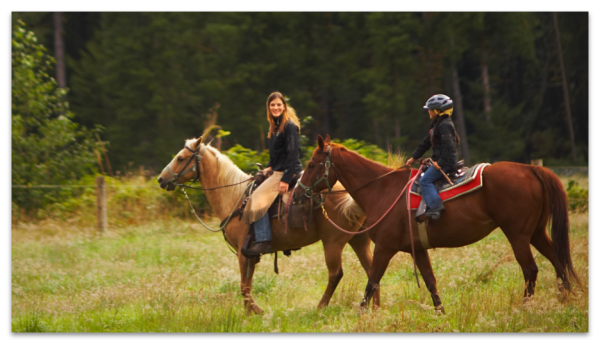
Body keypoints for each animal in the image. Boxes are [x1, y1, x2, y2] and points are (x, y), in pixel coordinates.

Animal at [156, 135, 380, 314]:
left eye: (180, 158)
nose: (161, 179)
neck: (236, 198)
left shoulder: (242, 253)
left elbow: (243, 287)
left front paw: (256, 312)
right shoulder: (250, 255)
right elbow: (247, 285)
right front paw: (249, 314)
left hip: (333, 242)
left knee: (336, 274)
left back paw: (320, 307)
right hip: (359, 240)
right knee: (372, 272)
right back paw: (375, 309)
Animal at [296, 136, 576, 314]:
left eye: (311, 164)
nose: (298, 193)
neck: (382, 189)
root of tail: (531, 170)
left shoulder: (384, 248)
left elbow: (372, 282)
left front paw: (361, 314)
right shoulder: (418, 250)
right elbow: (430, 281)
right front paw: (441, 313)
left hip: (517, 235)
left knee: (530, 270)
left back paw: (525, 308)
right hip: (536, 233)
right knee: (558, 262)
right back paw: (566, 300)